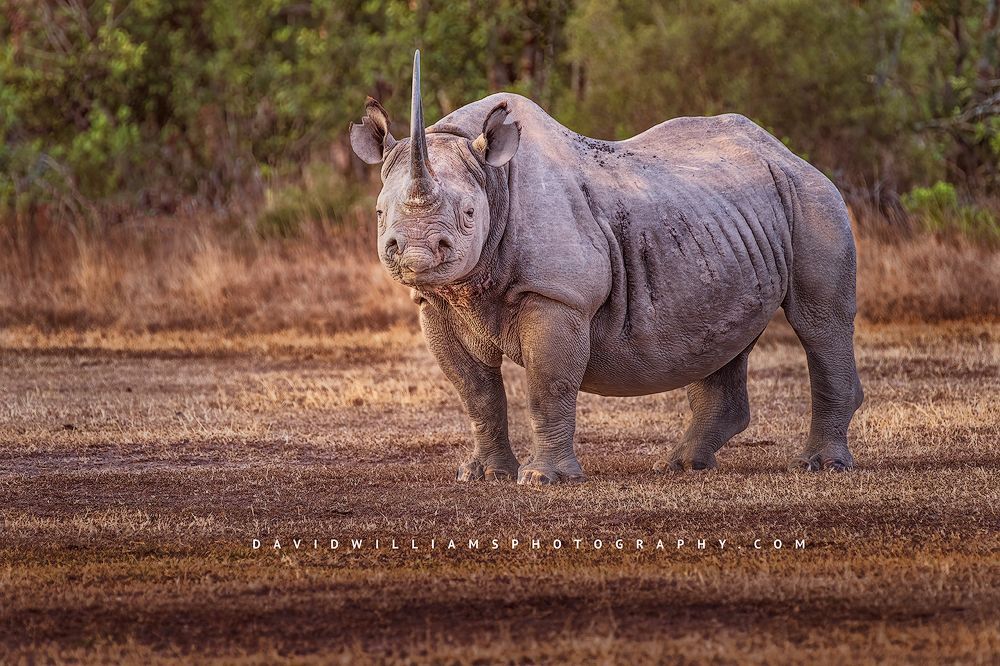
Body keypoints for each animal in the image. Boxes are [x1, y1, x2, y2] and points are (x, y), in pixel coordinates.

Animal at [350, 51, 864, 484]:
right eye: (379, 213)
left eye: (470, 215)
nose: (417, 254)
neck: (492, 176)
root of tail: (787, 153)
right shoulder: (435, 302)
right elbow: (475, 392)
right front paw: (482, 475)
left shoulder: (559, 296)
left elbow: (548, 385)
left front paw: (544, 479)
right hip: (729, 220)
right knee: (724, 329)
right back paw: (681, 466)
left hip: (813, 199)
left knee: (819, 321)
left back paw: (820, 465)